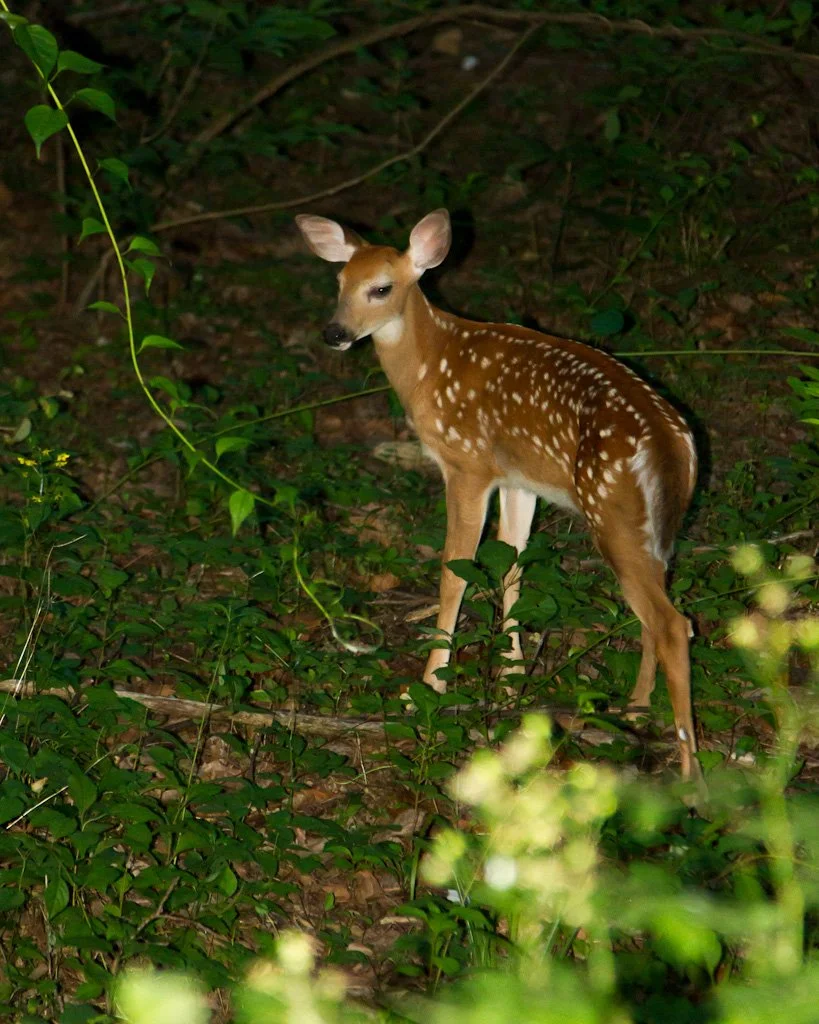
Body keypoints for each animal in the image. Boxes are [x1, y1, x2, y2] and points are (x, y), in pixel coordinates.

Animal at [296, 209, 700, 780]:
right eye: (339, 282)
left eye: (381, 287)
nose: (334, 333)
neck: (429, 364)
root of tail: (674, 444)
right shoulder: (517, 478)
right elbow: (512, 568)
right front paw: (511, 683)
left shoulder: (468, 463)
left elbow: (454, 573)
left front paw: (426, 688)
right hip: (653, 528)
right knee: (656, 616)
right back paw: (635, 710)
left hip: (612, 512)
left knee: (672, 623)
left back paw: (690, 774)